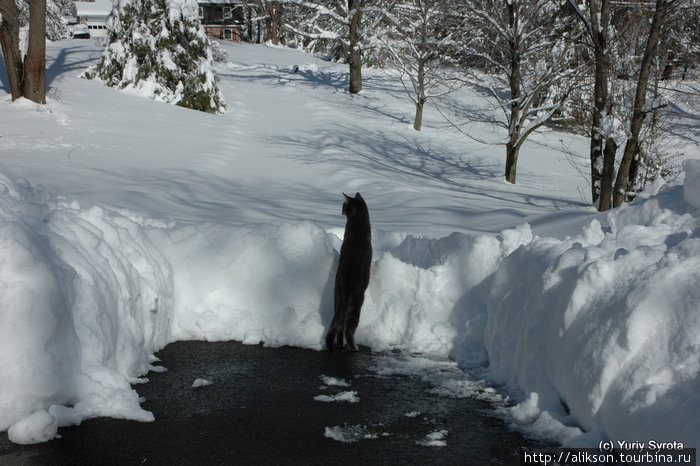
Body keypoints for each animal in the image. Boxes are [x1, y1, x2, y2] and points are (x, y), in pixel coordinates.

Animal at [326, 191, 372, 352]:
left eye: (344, 205)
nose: (341, 210)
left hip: (337, 300)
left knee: (338, 325)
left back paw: (340, 345)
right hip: (355, 306)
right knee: (347, 329)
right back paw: (353, 346)